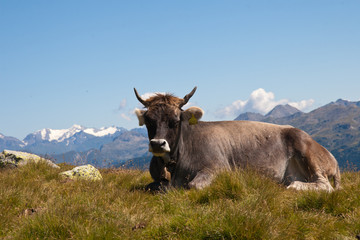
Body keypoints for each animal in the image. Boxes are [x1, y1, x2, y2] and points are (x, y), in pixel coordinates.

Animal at [134, 86, 340, 191]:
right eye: (149, 121)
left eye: (175, 121)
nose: (157, 144)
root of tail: (331, 157)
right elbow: (152, 186)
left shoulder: (218, 168)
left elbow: (193, 186)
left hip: (305, 150)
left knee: (324, 185)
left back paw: (291, 185)